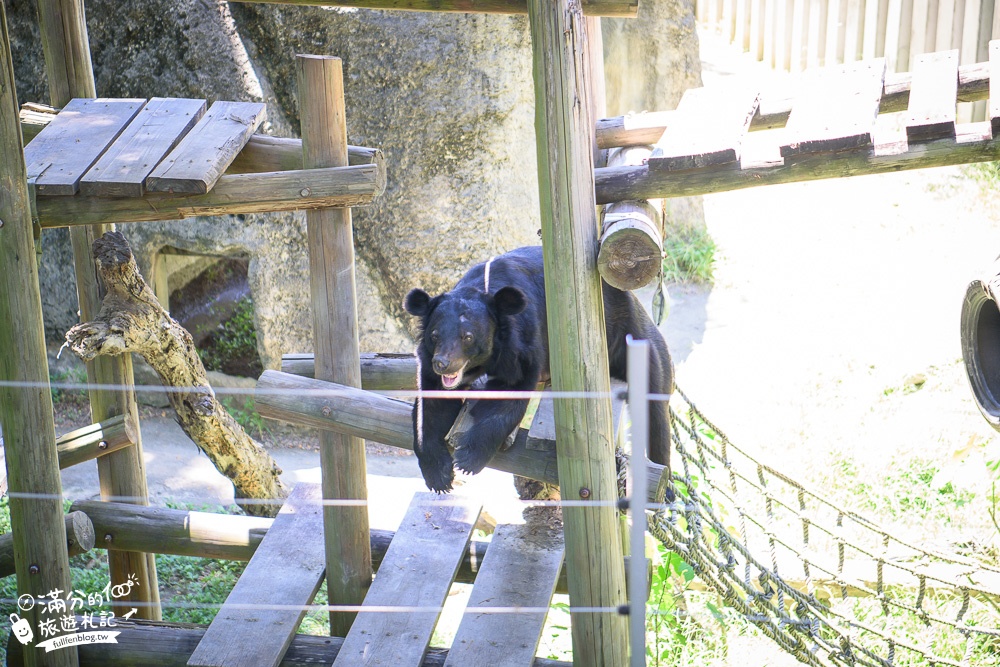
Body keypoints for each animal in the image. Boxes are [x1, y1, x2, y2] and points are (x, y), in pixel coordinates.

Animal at [404, 248, 672, 494]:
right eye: (434, 335)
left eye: (467, 337)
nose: (443, 363)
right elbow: (431, 407)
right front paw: (439, 476)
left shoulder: (523, 342)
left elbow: (509, 396)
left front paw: (468, 459)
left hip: (633, 339)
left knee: (656, 412)